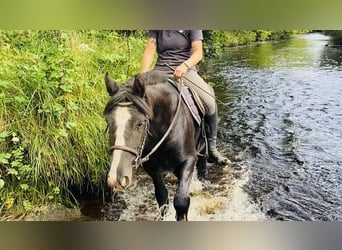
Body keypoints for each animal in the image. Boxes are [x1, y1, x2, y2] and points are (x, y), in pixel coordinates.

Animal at [103, 71, 206, 221]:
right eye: (108, 122)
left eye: (140, 123)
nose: (116, 179)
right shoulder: (151, 167)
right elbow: (162, 197)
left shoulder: (188, 160)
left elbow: (181, 201)